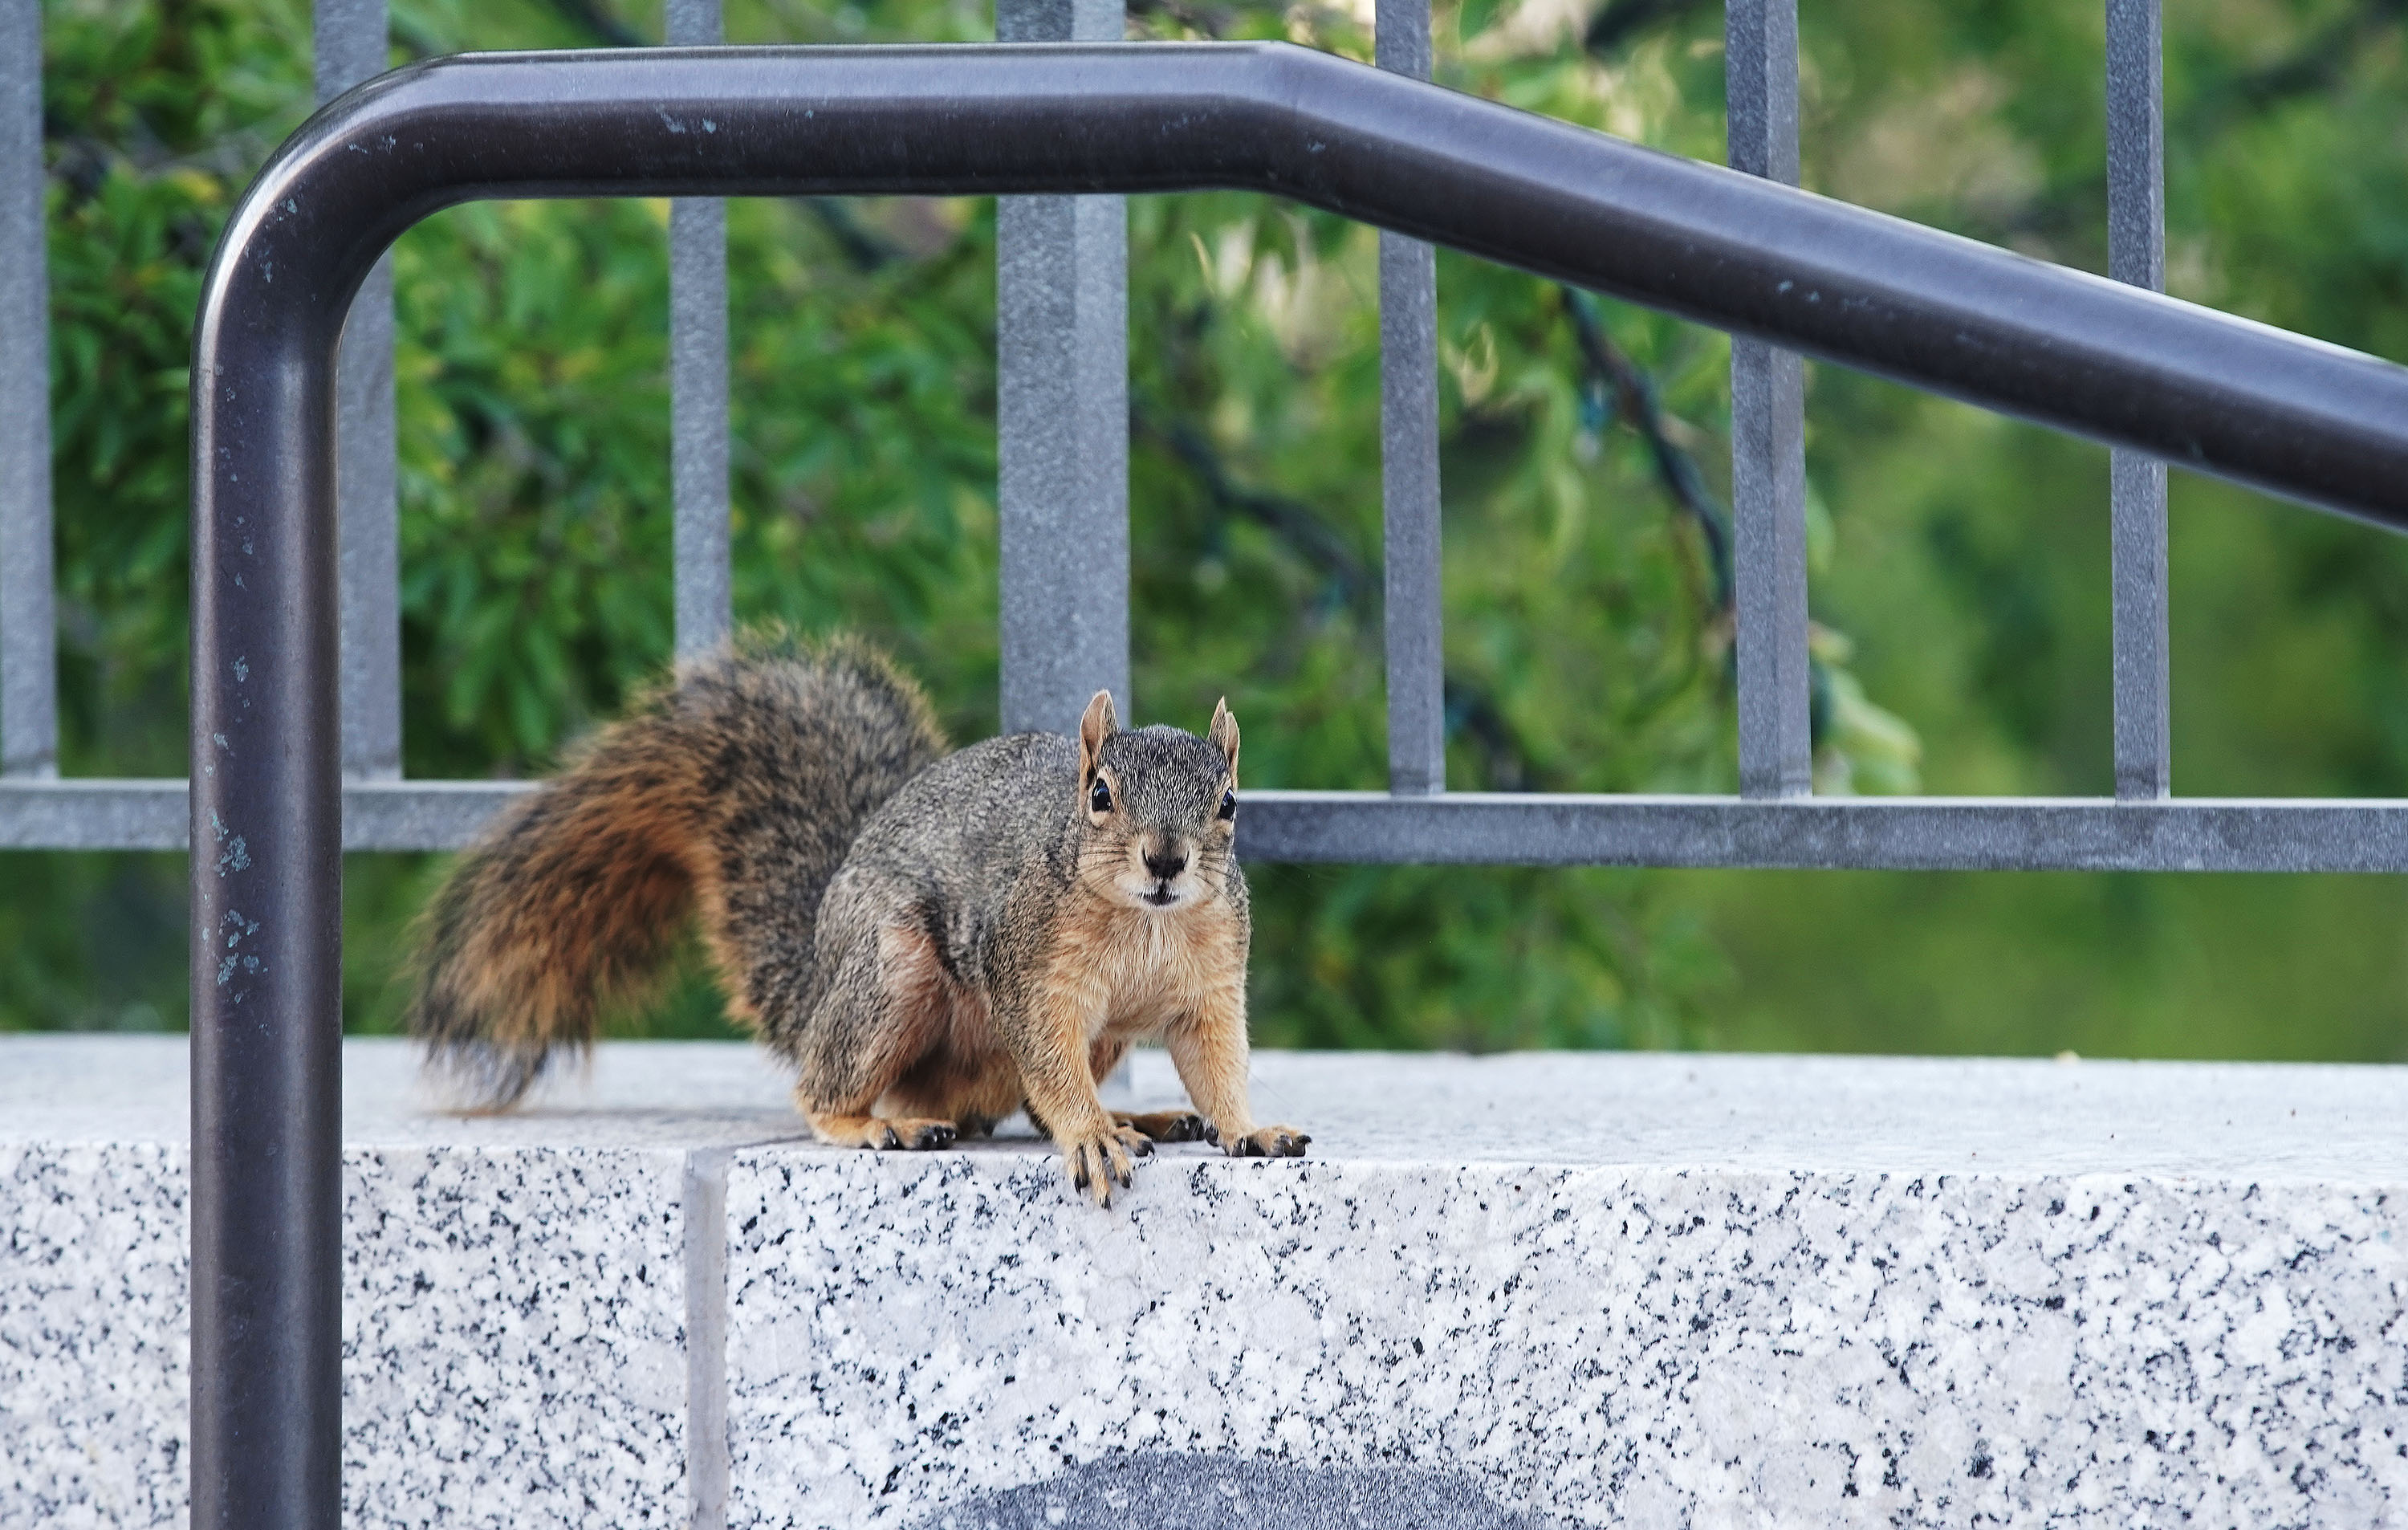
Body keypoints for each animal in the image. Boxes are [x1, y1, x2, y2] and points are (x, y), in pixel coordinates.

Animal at [414, 626, 1320, 1204]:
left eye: (1229, 802)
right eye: (1099, 796)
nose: (1165, 861)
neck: (1147, 921)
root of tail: (820, 974)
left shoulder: (1211, 984)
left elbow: (1216, 1063)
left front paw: (1249, 1130)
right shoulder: (1030, 974)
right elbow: (1050, 1063)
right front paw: (1090, 1137)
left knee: (1024, 1104)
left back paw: (1137, 1114)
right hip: (891, 974)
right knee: (829, 1088)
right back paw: (877, 1126)